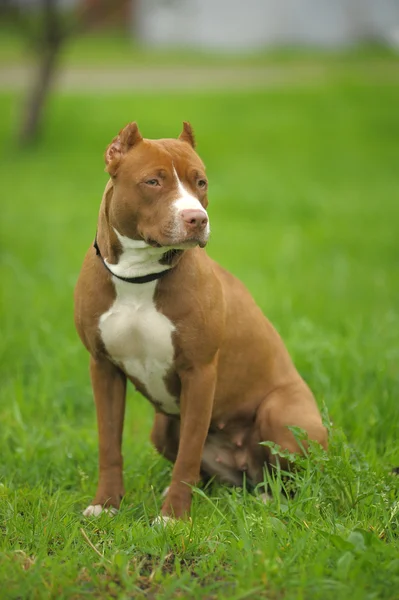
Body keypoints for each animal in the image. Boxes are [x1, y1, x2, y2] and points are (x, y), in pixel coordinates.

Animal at [74, 122, 328, 520]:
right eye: (153, 182)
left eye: (201, 182)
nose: (197, 219)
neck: (139, 276)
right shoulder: (103, 368)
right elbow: (109, 444)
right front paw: (106, 505)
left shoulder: (200, 373)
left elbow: (188, 456)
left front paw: (173, 517)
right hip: (162, 428)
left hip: (281, 413)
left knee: (294, 477)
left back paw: (272, 500)